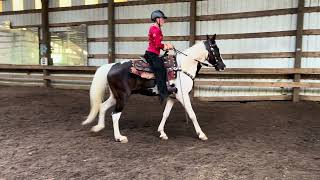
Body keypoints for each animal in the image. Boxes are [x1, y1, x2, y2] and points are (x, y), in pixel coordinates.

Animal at [81, 34, 226, 143]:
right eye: (216, 49)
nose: (223, 66)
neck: (183, 66)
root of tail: (111, 66)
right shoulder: (182, 95)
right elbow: (192, 114)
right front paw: (201, 135)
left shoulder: (172, 97)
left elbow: (165, 114)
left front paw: (162, 133)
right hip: (123, 96)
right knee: (115, 114)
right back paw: (119, 137)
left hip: (115, 96)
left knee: (102, 107)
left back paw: (98, 127)